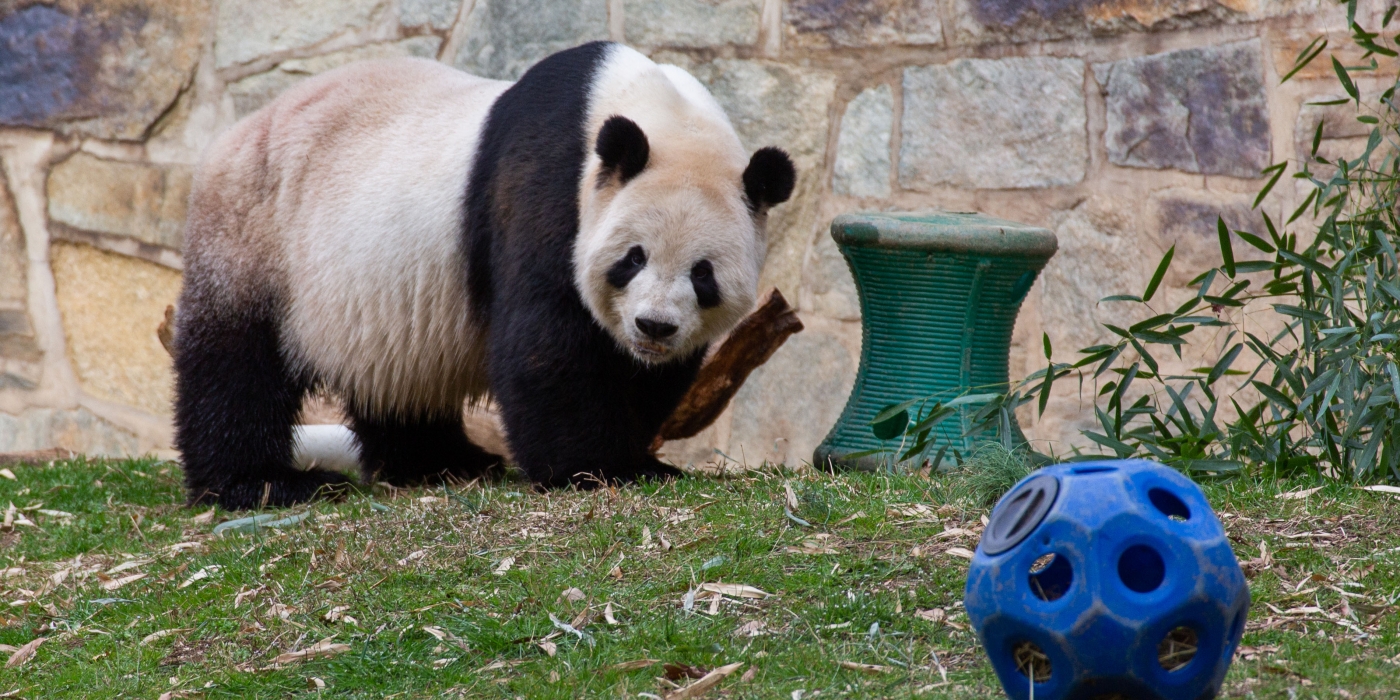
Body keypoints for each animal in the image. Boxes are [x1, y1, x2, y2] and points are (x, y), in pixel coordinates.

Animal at [172, 40, 800, 509]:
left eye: (702, 275)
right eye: (633, 258)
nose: (653, 327)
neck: (659, 114)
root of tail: (235, 133)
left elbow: (644, 376)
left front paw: (637, 453)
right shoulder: (547, 189)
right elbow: (546, 342)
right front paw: (596, 467)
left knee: (397, 381)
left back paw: (444, 462)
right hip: (256, 234)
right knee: (236, 363)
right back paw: (261, 482)